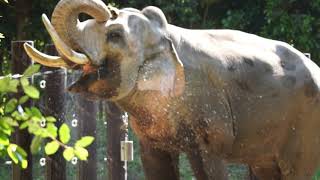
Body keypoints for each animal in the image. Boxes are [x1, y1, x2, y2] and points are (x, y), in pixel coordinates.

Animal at [23, 0, 320, 179]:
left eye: (114, 36)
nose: (111, 8)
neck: (165, 37)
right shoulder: (150, 137)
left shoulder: (211, 120)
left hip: (306, 128)